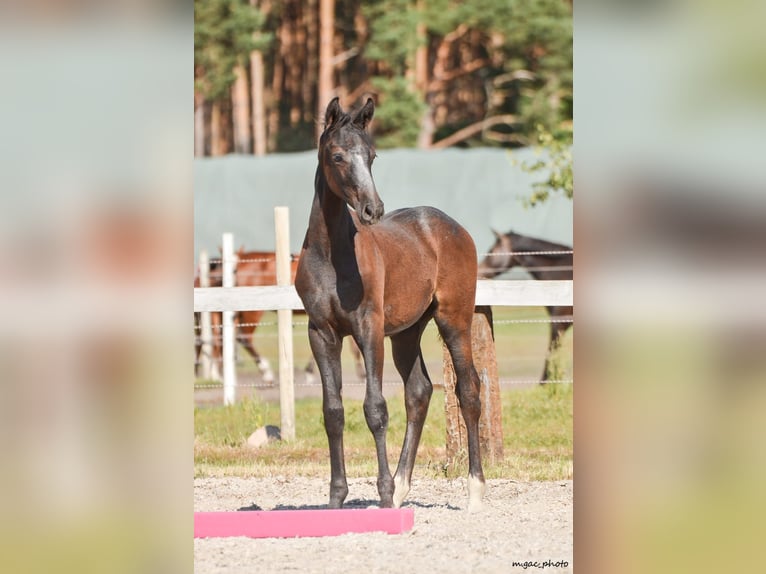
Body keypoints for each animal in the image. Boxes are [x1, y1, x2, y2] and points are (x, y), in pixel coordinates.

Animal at [295, 97, 486, 511]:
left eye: (372, 156)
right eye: (338, 155)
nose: (373, 209)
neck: (331, 256)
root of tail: (453, 227)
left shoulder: (369, 329)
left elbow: (375, 408)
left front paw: (381, 493)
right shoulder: (321, 333)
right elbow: (333, 412)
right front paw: (337, 497)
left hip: (454, 319)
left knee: (468, 390)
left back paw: (474, 490)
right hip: (406, 333)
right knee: (419, 392)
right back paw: (401, 488)